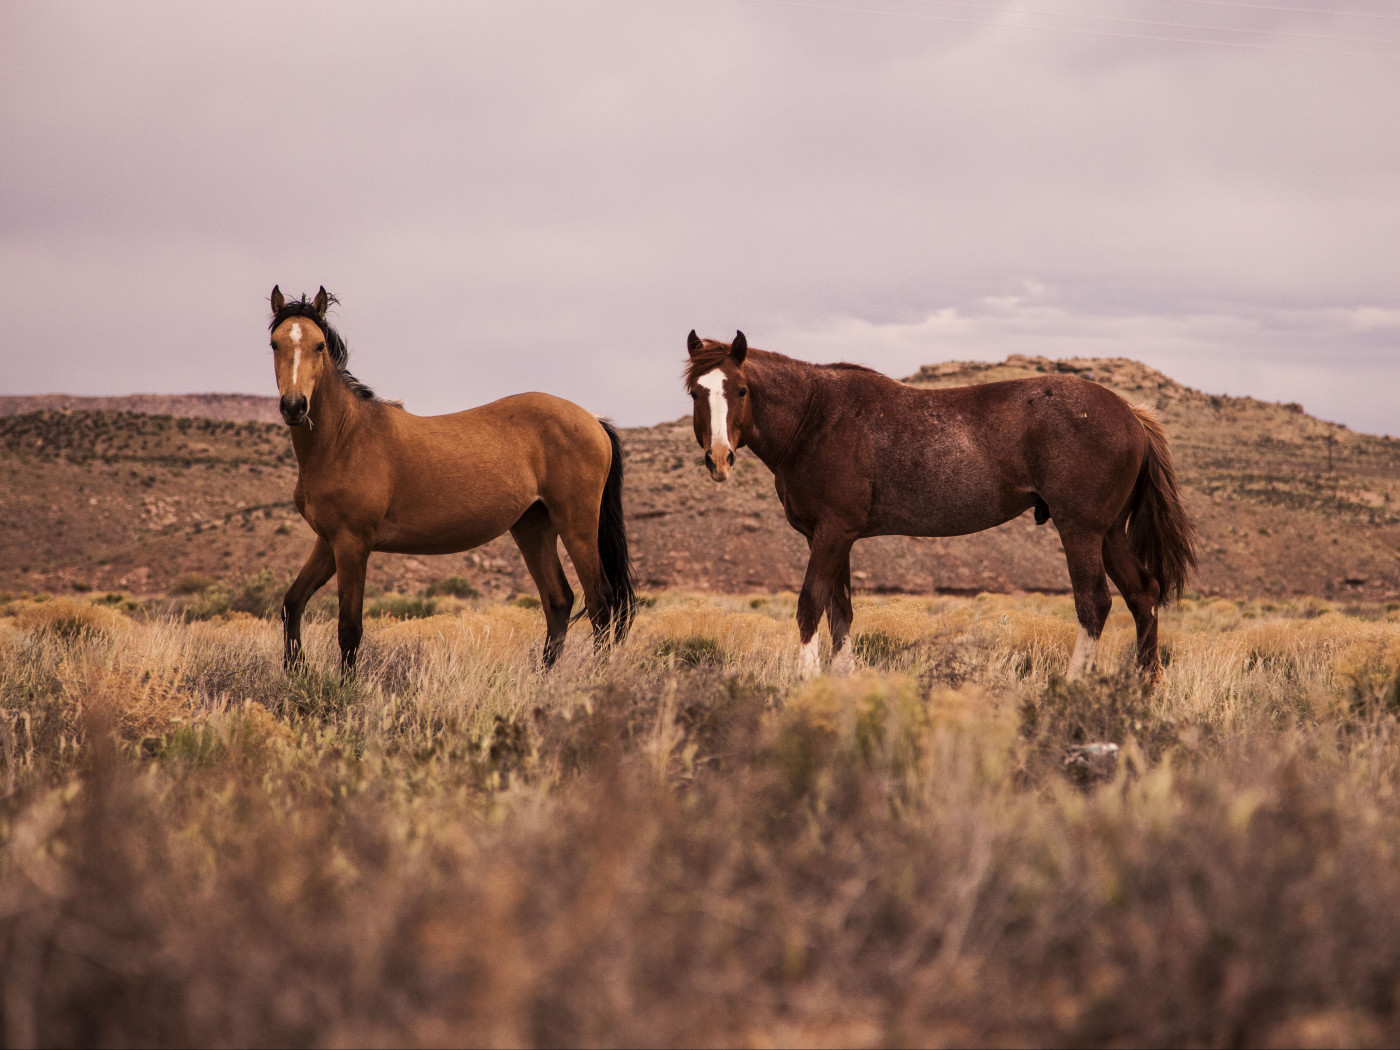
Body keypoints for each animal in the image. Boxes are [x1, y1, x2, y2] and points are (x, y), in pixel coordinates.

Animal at [267, 285, 636, 672]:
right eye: (275, 344)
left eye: (319, 345)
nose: (294, 406)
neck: (344, 437)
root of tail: (593, 419)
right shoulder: (328, 541)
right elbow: (292, 603)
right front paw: (295, 670)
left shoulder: (352, 544)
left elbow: (349, 628)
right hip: (533, 526)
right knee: (559, 600)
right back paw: (544, 677)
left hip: (576, 524)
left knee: (600, 602)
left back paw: (595, 675)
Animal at [683, 330, 1197, 681]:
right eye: (696, 392)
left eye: (741, 390)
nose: (719, 458)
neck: (815, 417)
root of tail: (1130, 413)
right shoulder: (835, 538)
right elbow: (840, 612)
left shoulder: (831, 534)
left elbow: (810, 604)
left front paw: (806, 681)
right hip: (1109, 533)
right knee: (1143, 595)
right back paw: (1144, 687)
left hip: (1081, 531)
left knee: (1095, 604)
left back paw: (1073, 686)